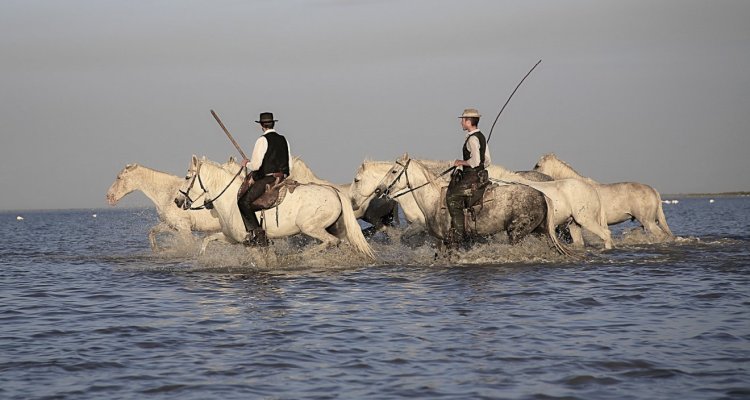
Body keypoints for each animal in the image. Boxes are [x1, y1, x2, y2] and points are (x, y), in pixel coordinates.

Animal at [175, 155, 376, 258]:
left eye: (187, 177)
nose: (177, 200)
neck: (230, 199)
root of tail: (334, 191)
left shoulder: (251, 243)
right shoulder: (232, 238)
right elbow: (208, 239)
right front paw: (201, 256)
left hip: (311, 228)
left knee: (331, 242)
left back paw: (302, 257)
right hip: (337, 228)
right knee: (345, 244)